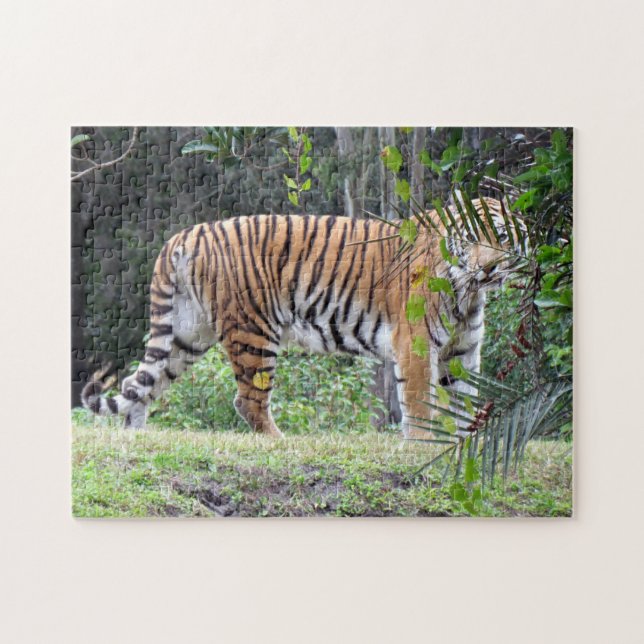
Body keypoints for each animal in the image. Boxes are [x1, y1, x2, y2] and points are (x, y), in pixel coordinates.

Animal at [82, 197, 524, 438]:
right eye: (472, 237)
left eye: (501, 238)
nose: (488, 267)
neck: (469, 290)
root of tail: (183, 235)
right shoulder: (414, 344)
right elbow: (418, 402)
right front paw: (418, 445)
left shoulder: (462, 351)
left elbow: (463, 402)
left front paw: (463, 447)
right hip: (253, 332)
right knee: (248, 400)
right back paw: (281, 441)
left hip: (186, 335)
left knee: (138, 385)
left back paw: (135, 436)